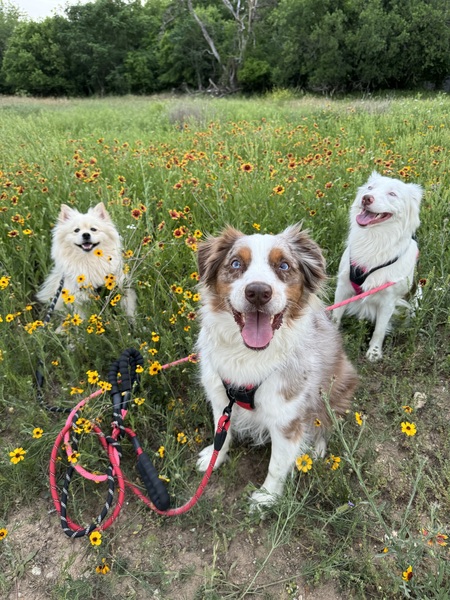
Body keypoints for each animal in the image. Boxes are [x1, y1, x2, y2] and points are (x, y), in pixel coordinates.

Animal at [195, 224, 356, 506]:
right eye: (235, 263)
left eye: (283, 265)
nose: (258, 292)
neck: (249, 357)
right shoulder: (220, 397)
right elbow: (220, 436)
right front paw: (213, 460)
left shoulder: (286, 419)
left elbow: (277, 465)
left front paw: (266, 497)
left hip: (338, 383)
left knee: (326, 421)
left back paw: (316, 448)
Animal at [334, 173, 422, 360]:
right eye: (370, 188)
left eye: (392, 194)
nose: (366, 198)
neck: (374, 239)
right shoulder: (343, 286)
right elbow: (335, 316)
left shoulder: (389, 300)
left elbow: (380, 329)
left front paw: (374, 352)